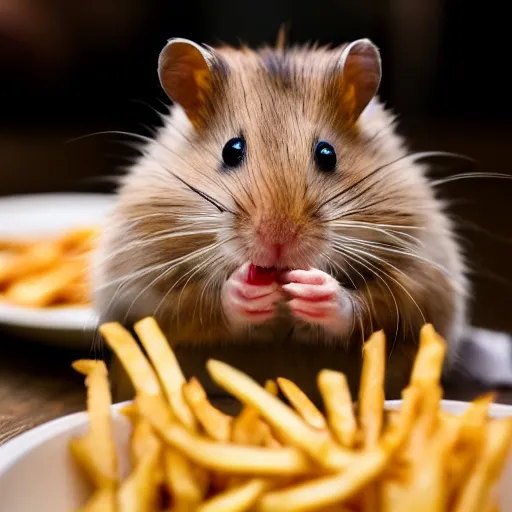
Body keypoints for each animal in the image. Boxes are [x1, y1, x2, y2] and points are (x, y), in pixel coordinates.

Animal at [92, 36, 468, 404]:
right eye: (231, 150)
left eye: (327, 154)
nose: (278, 243)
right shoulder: (137, 280)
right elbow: (189, 305)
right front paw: (245, 290)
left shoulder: (423, 276)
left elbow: (377, 308)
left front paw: (315, 290)